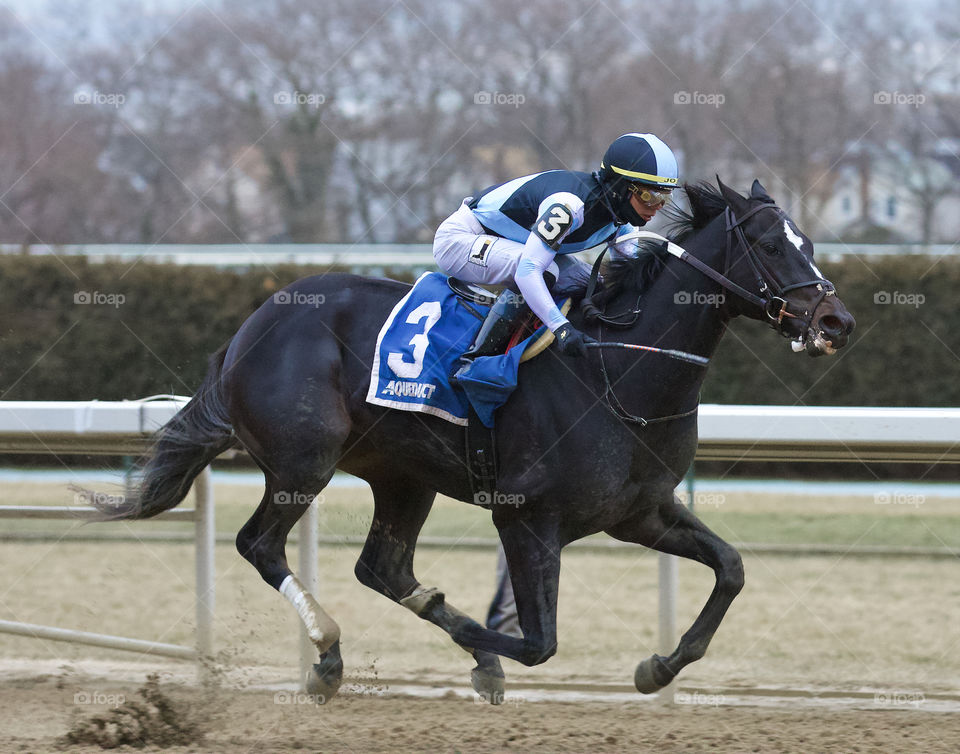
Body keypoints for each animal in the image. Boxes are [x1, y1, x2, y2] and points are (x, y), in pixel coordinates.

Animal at [90, 176, 856, 700]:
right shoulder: (526, 516)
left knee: (382, 567)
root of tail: (255, 324)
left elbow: (731, 568)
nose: (836, 321)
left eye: (811, 243)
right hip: (303, 460)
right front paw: (480, 647)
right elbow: (540, 642)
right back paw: (329, 656)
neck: (619, 367)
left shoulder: (641, 512)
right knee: (261, 545)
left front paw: (657, 666)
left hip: (402, 474)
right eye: (769, 244)